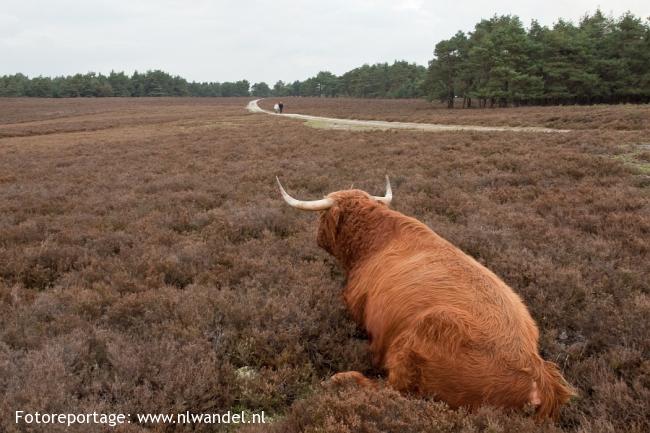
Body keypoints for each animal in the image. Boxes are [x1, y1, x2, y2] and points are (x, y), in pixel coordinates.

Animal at [274, 176, 572, 418]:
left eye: (322, 217)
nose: (317, 238)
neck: (372, 243)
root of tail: (539, 374)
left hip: (424, 337)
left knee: (389, 389)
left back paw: (340, 379)